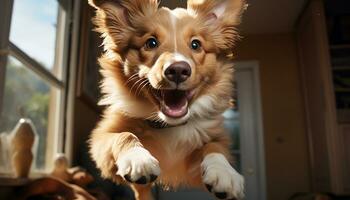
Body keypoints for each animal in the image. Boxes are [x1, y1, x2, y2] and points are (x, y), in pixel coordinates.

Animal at [87, 0, 246, 199]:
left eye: (196, 44)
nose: (178, 70)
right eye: (151, 43)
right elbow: (123, 135)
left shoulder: (195, 162)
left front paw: (224, 172)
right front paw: (138, 157)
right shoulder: (100, 141)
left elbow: (213, 146)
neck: (169, 126)